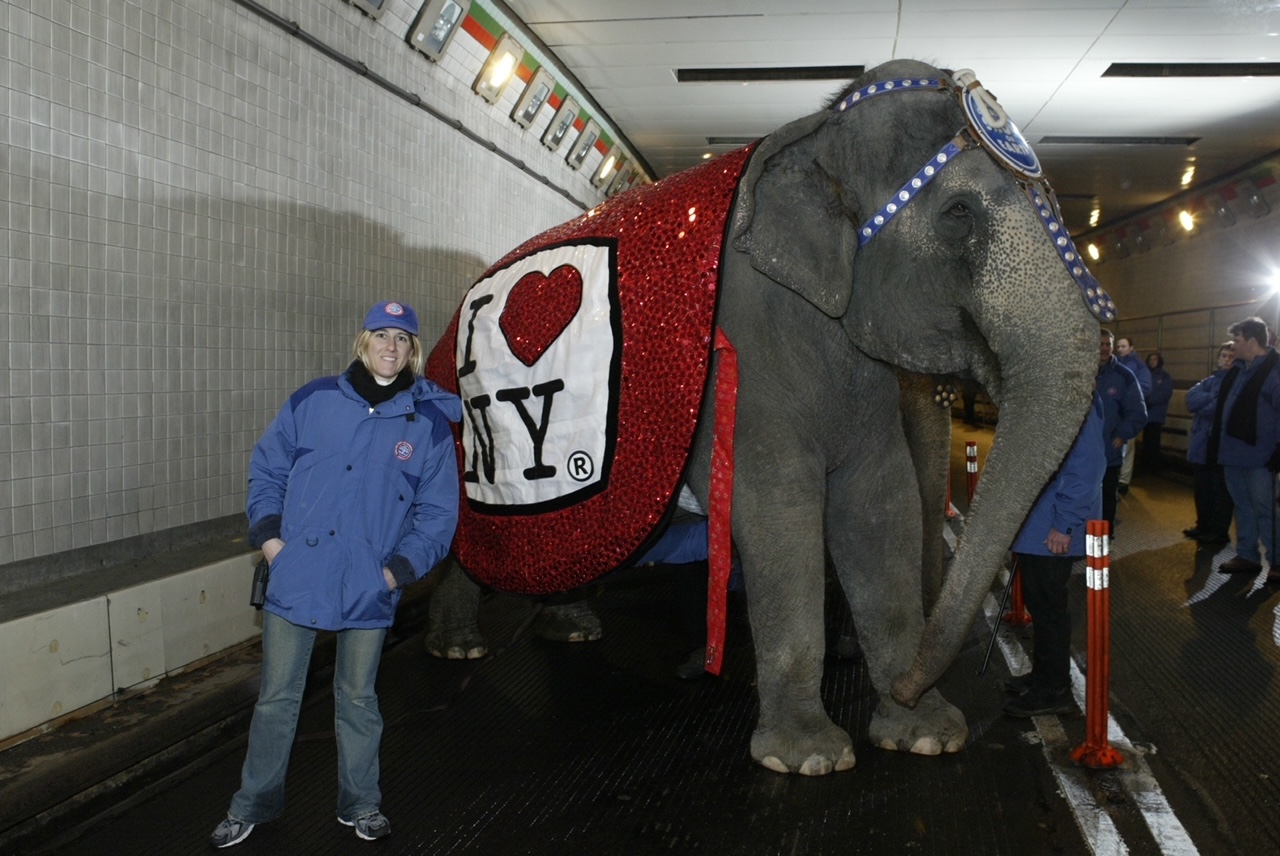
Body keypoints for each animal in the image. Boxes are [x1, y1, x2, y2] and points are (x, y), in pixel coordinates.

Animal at [427, 56, 1111, 772]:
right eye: (958, 213)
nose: (908, 682)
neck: (818, 129)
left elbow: (881, 506)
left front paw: (924, 733)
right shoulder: (744, 361)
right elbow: (779, 508)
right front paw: (808, 758)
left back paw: (572, 629)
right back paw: (459, 647)